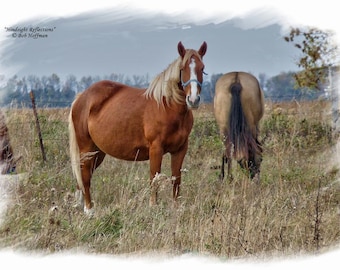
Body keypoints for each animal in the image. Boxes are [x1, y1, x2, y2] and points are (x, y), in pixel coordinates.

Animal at [68, 41, 207, 214]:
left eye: (202, 68)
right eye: (183, 68)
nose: (193, 99)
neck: (167, 107)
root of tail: (82, 97)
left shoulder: (180, 150)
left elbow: (176, 180)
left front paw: (175, 209)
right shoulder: (156, 149)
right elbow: (154, 179)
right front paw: (153, 207)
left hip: (97, 152)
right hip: (86, 148)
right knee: (85, 176)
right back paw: (89, 211)